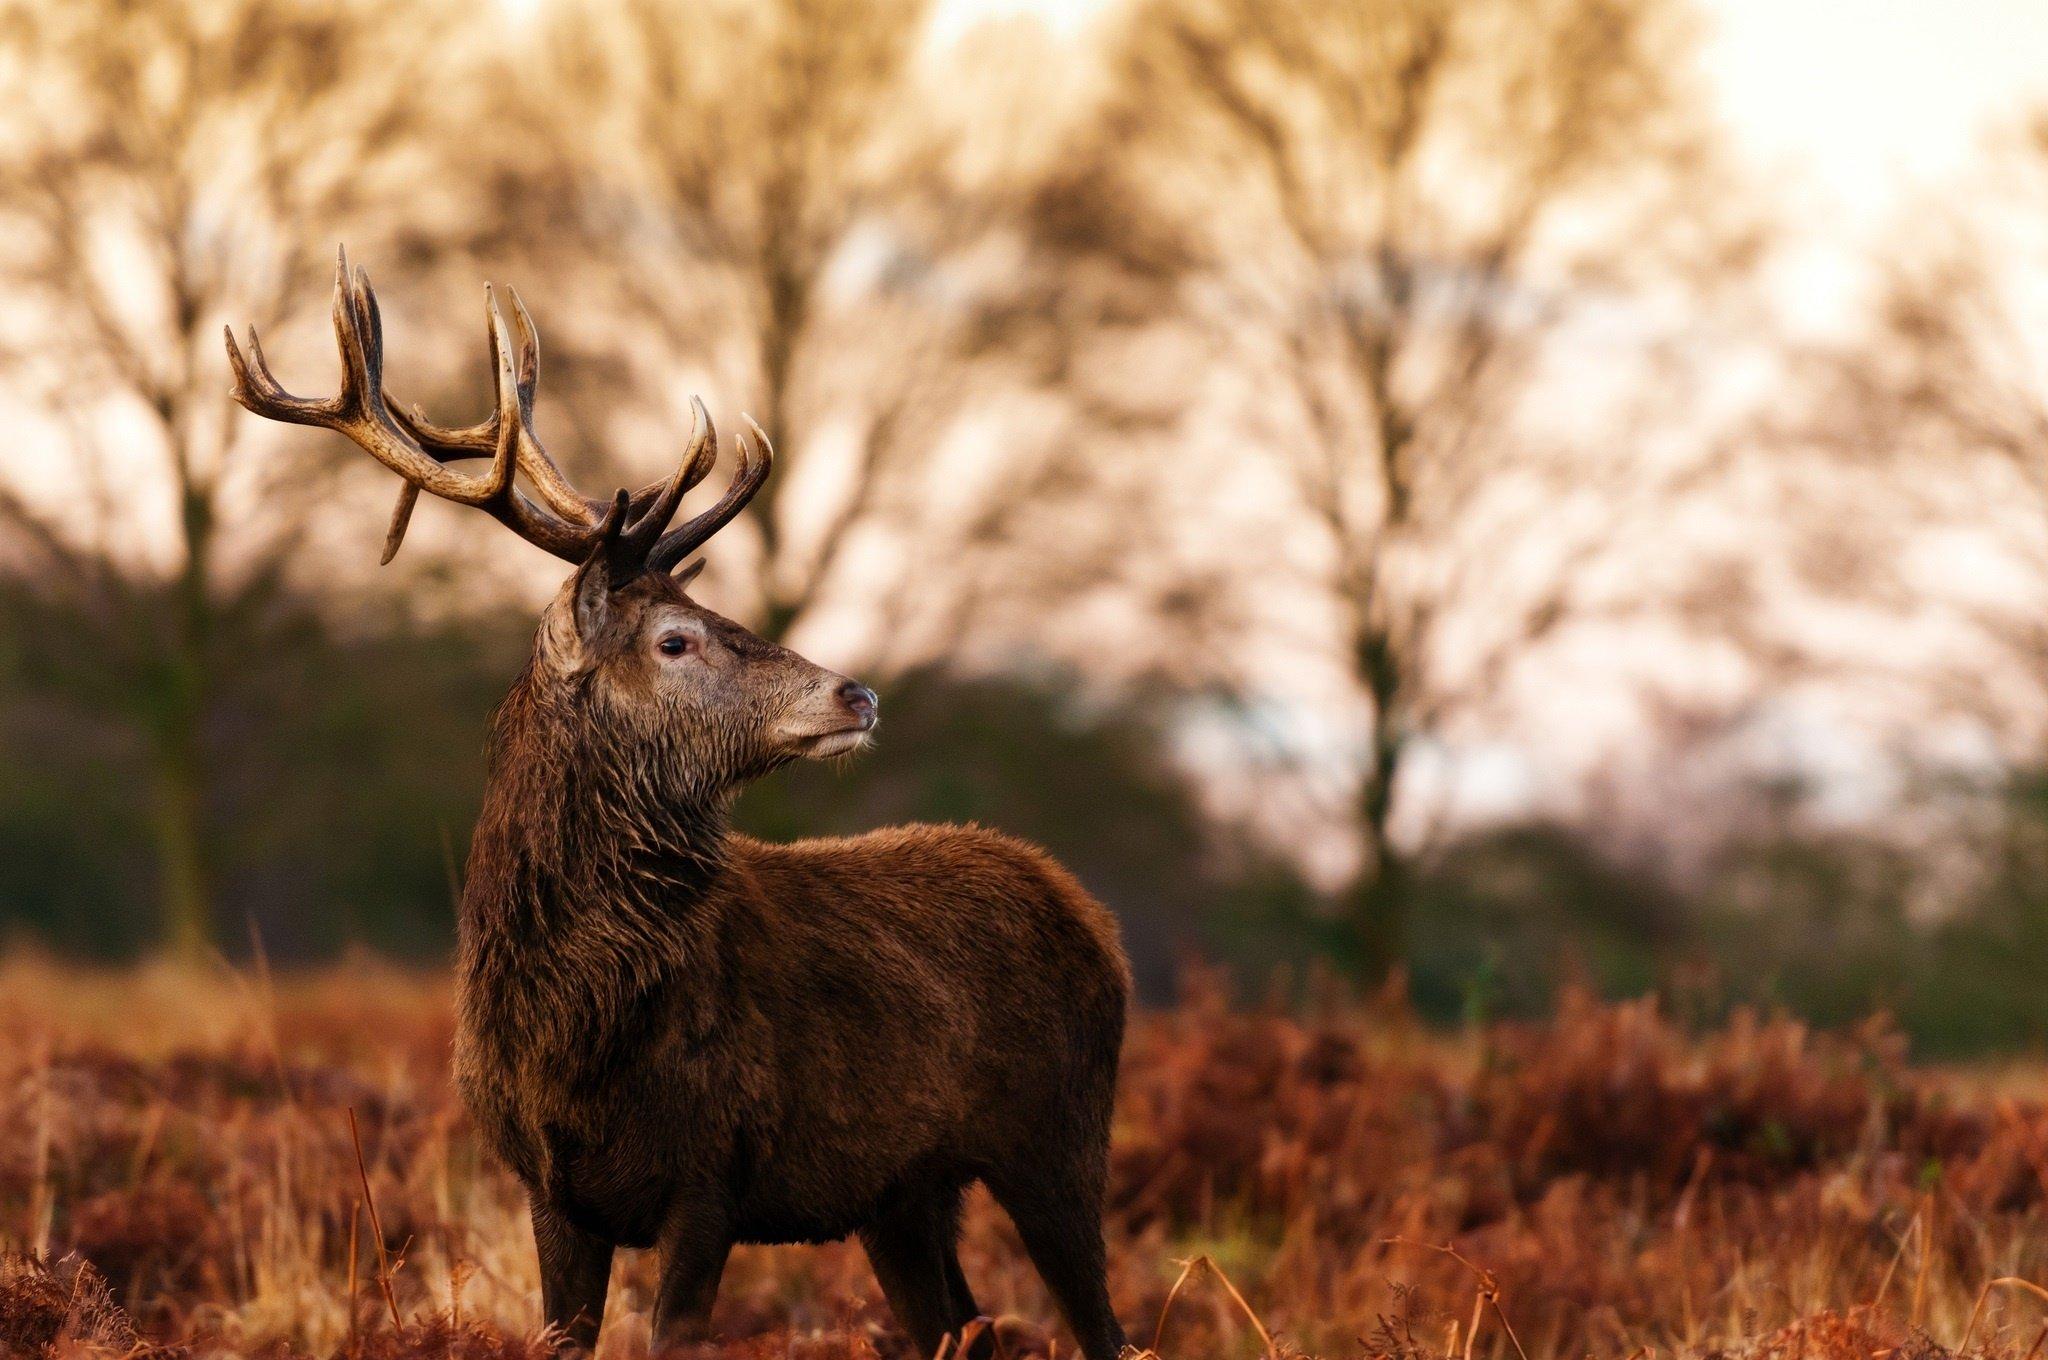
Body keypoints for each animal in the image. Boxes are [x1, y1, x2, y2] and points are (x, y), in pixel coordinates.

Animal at [224, 251, 1132, 1360]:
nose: (857, 693)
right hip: (904, 1193)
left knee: (1103, 1326)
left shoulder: (716, 1172)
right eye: (674, 638)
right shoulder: (548, 1187)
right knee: (961, 1323)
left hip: (1059, 1138)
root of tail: (1089, 915)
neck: (575, 1039)